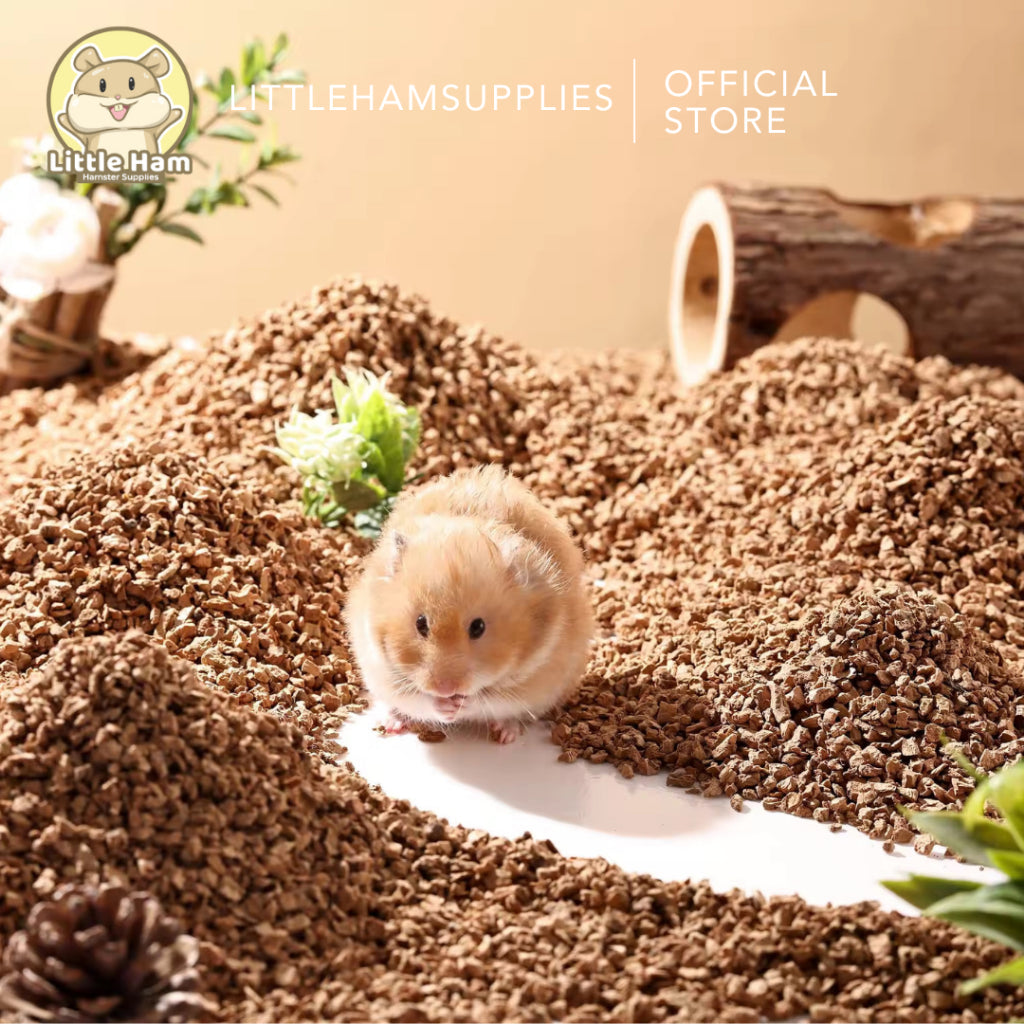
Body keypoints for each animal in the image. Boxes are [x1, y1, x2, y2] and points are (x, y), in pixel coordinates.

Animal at [345, 465, 594, 743]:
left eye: (478, 627)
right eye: (421, 624)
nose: (446, 688)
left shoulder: (533, 676)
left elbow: (485, 699)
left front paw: (461, 705)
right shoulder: (382, 666)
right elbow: (420, 698)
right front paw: (445, 706)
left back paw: (506, 734)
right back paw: (390, 724)